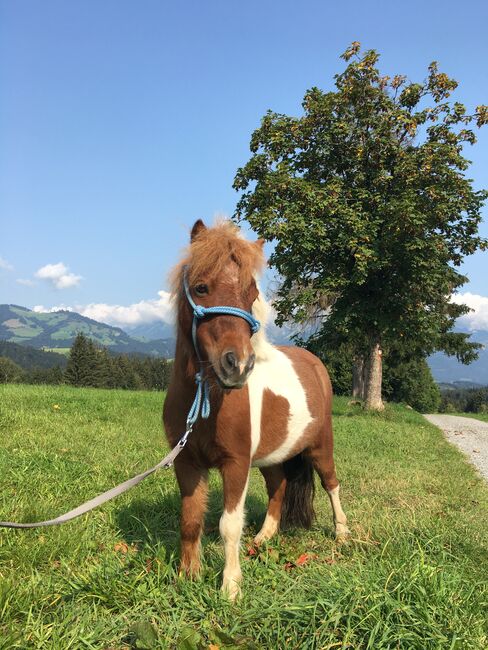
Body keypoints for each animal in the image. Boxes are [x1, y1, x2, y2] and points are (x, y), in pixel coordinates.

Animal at [163, 219, 348, 599]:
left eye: (250, 295)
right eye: (201, 288)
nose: (238, 365)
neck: (206, 399)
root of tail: (315, 364)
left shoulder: (235, 463)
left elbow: (229, 524)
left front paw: (230, 587)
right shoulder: (188, 462)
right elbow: (190, 519)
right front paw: (188, 576)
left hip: (320, 446)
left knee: (332, 484)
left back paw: (342, 534)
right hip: (272, 456)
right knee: (279, 486)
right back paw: (264, 538)